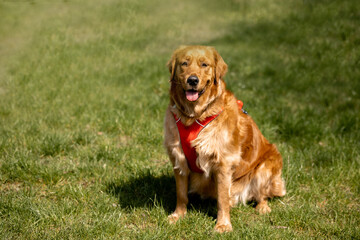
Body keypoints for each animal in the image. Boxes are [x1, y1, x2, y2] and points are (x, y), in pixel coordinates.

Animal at [164, 45, 286, 232]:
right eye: (184, 63)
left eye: (204, 64)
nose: (192, 80)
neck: (195, 116)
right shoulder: (179, 159)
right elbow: (181, 194)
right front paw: (178, 216)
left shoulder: (224, 163)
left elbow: (222, 199)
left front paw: (223, 225)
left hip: (265, 167)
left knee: (262, 194)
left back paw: (262, 207)